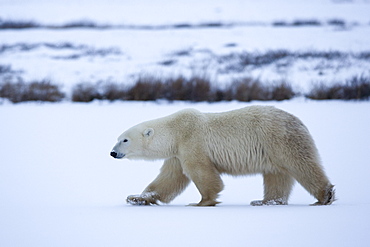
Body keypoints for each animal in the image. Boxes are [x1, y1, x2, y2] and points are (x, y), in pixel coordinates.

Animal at [110, 106, 336, 206]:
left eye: (125, 140)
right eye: (119, 138)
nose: (112, 152)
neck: (175, 131)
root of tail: (298, 121)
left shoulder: (192, 142)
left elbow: (201, 172)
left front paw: (202, 201)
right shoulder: (177, 153)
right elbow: (169, 179)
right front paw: (137, 198)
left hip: (279, 140)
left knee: (302, 165)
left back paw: (324, 196)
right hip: (273, 151)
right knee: (276, 175)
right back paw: (265, 201)